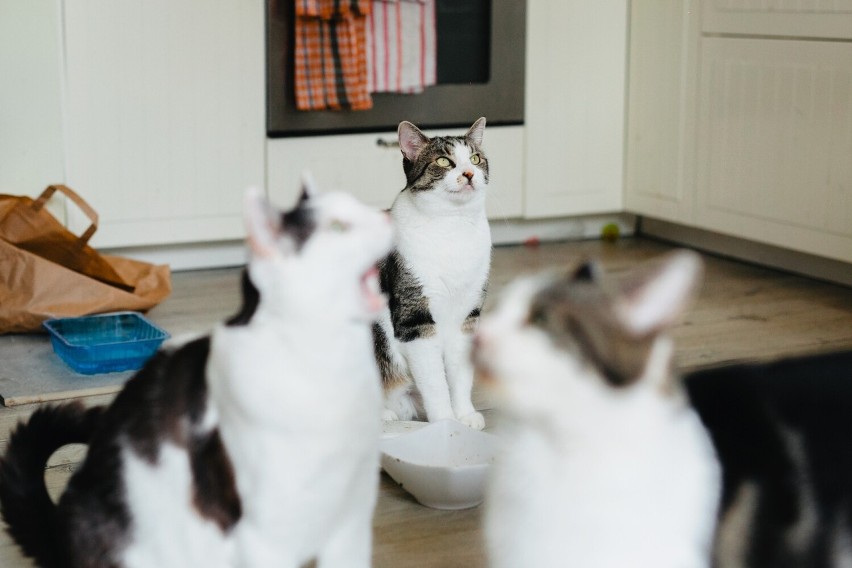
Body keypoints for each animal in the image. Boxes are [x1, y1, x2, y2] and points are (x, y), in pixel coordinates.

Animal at [0, 183, 392, 568]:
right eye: (338, 228)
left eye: (361, 204)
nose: (385, 217)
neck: (330, 365)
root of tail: (57, 532)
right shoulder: (263, 538)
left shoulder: (352, 525)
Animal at [374, 117, 490, 432]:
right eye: (443, 161)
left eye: (476, 159)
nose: (469, 173)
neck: (451, 226)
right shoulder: (415, 320)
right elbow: (435, 383)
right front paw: (446, 422)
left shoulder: (467, 317)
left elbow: (460, 374)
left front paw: (464, 416)